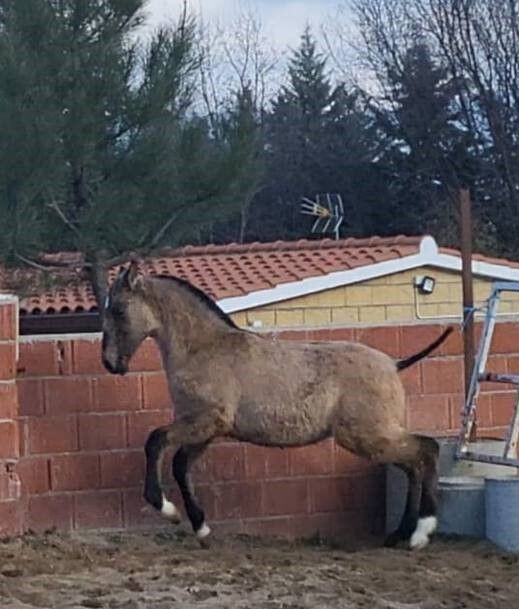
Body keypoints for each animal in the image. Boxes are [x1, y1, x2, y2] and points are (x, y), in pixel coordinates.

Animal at [100, 262, 450, 552]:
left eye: (117, 309)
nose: (110, 363)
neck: (203, 348)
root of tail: (393, 364)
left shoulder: (203, 420)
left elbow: (156, 441)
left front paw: (167, 509)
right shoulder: (205, 430)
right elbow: (180, 465)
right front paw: (201, 529)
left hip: (367, 436)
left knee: (426, 450)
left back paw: (421, 534)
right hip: (376, 437)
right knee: (412, 465)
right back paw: (399, 535)